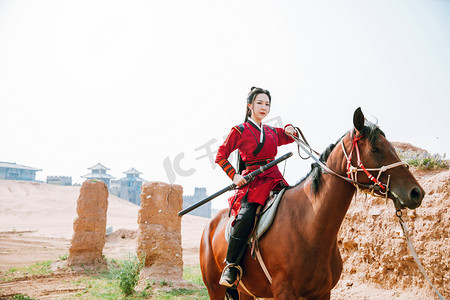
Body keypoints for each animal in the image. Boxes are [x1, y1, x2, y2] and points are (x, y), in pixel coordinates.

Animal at [200, 108, 426, 300]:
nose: (416, 193)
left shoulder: (322, 293)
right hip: (214, 289)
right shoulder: (284, 293)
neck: (309, 226)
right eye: (376, 148)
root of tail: (210, 225)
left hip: (245, 291)